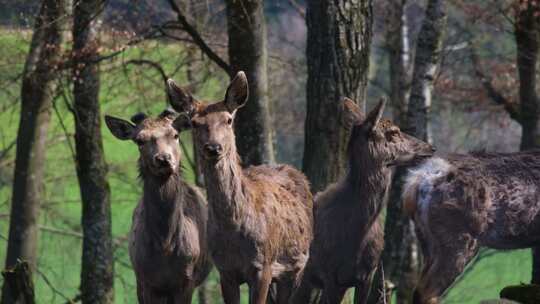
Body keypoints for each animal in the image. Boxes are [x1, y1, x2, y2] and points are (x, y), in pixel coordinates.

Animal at [104, 108, 211, 302]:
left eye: (175, 134)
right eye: (139, 140)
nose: (163, 159)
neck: (164, 247)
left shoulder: (187, 280)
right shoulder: (145, 280)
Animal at [167, 72, 314, 304]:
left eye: (228, 120)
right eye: (195, 123)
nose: (213, 147)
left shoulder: (263, 266)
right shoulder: (225, 269)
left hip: (296, 264)